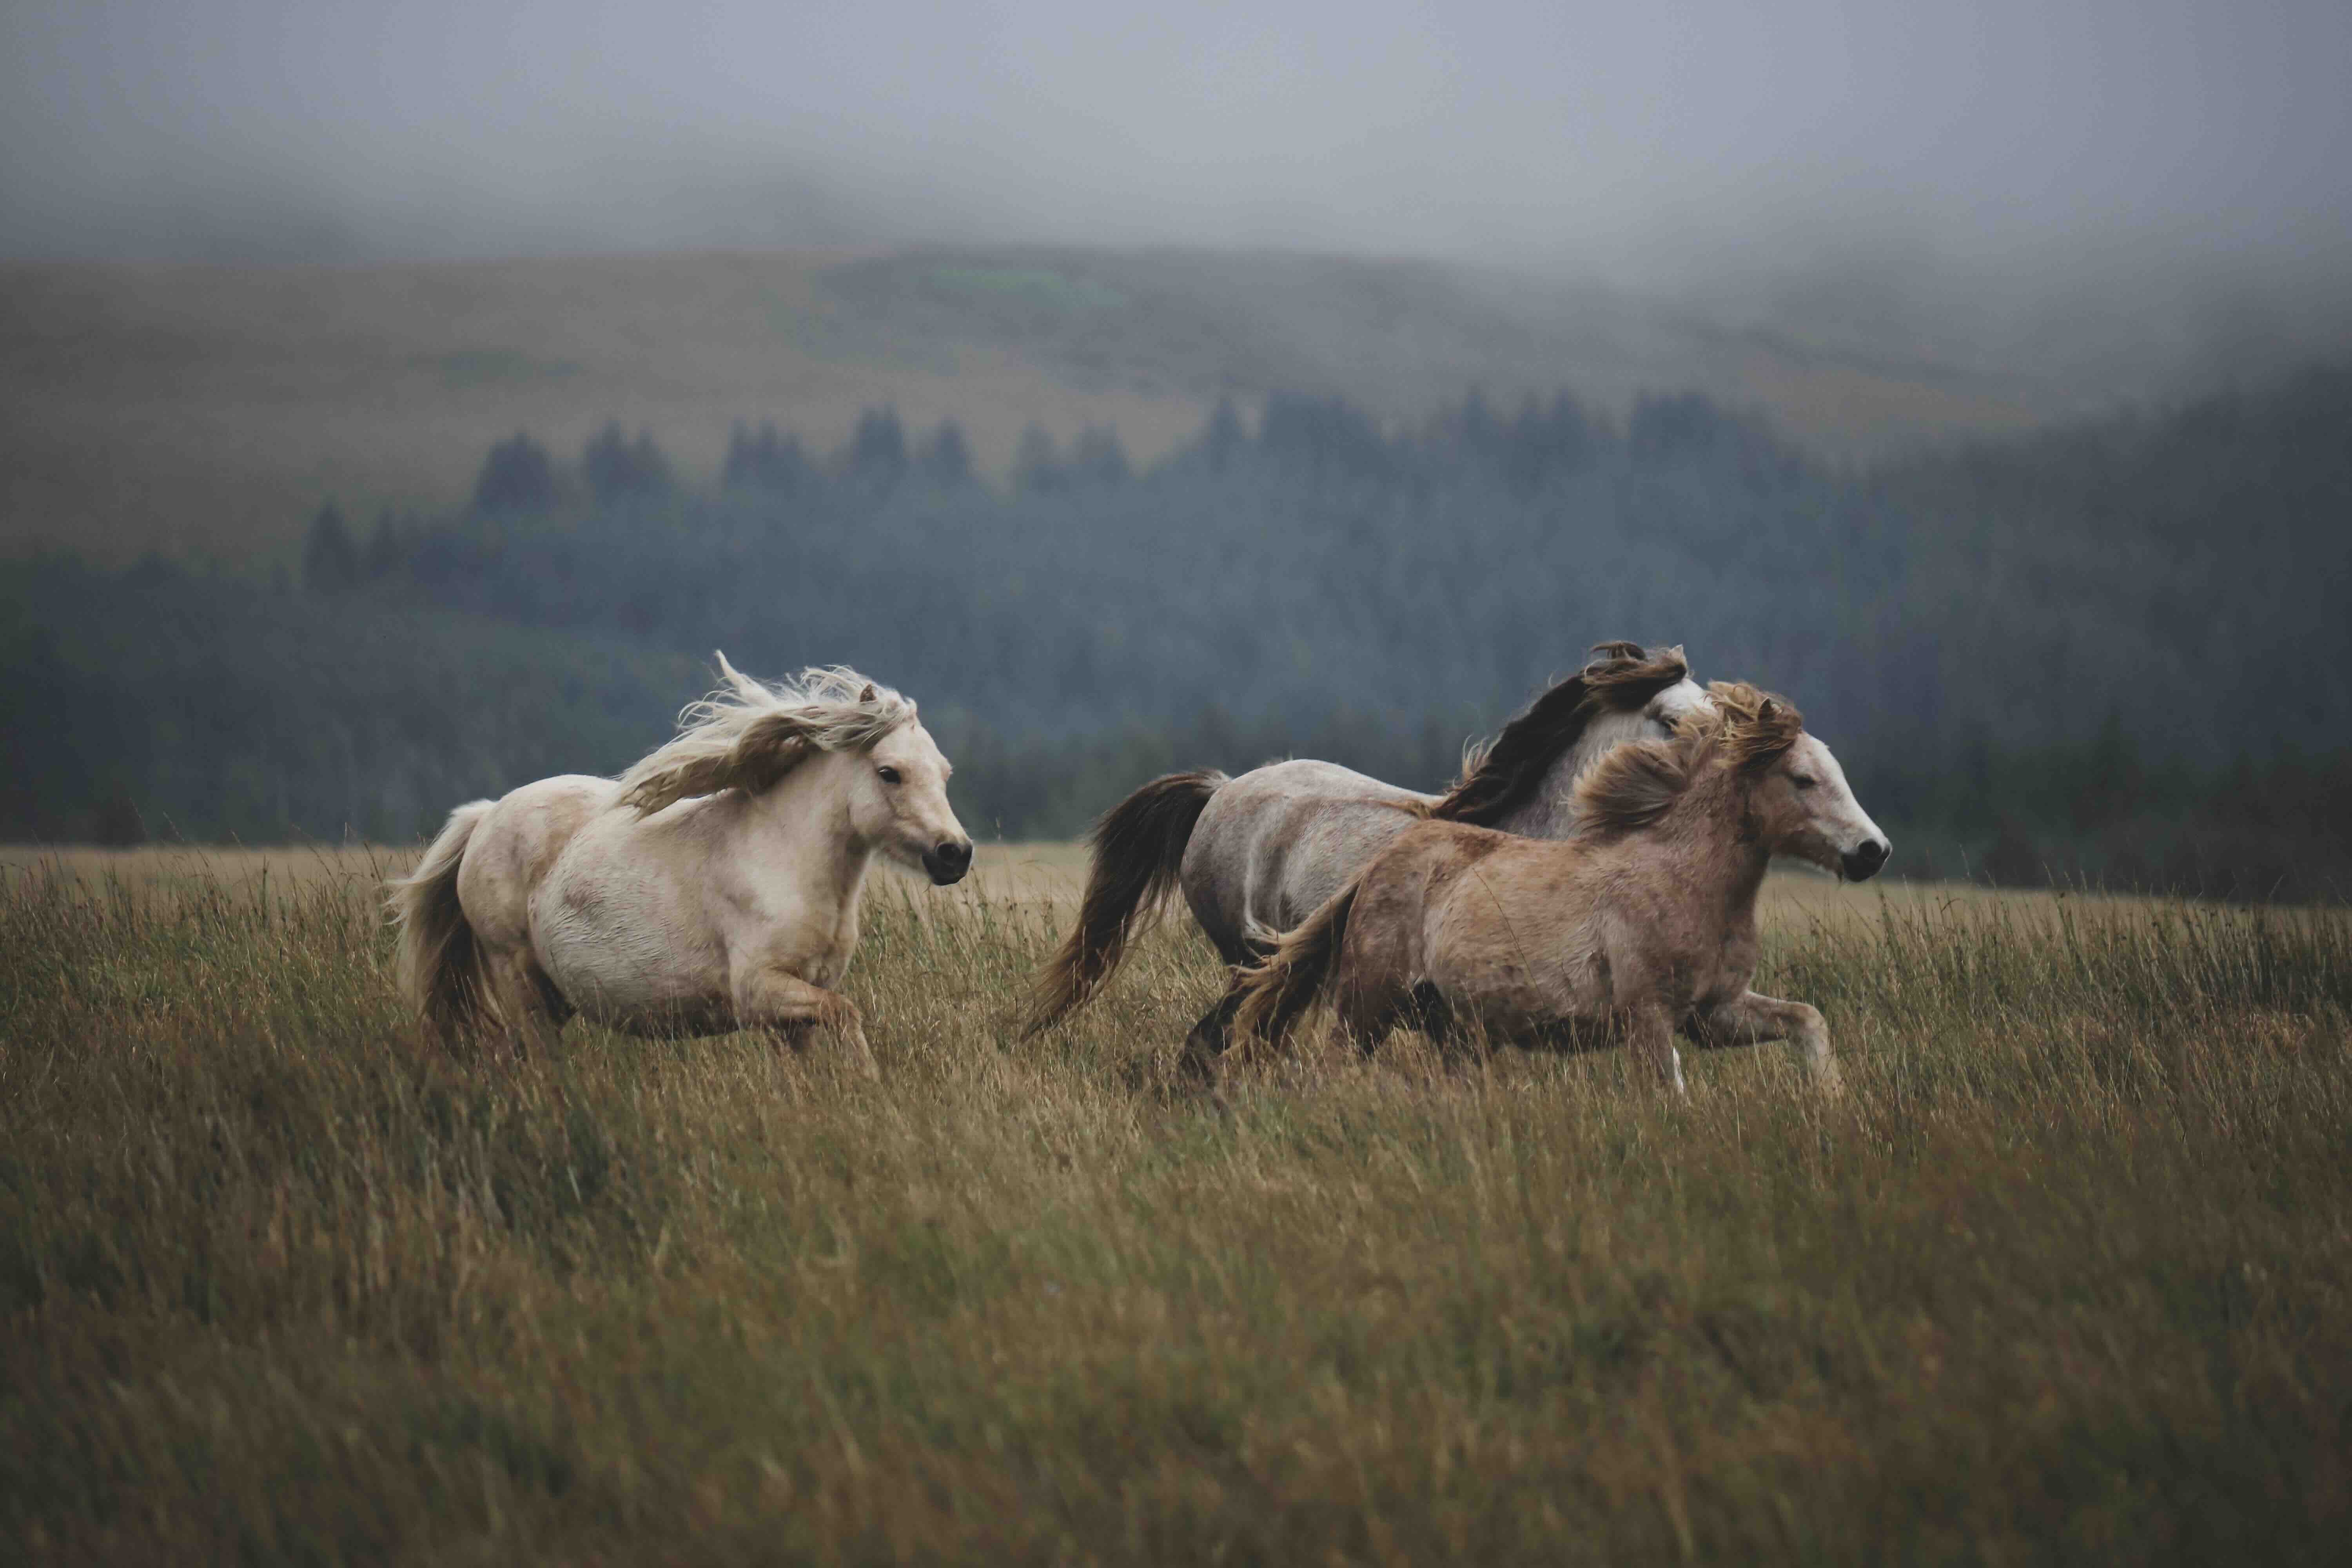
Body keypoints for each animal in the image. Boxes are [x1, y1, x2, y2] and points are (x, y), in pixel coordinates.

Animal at [388, 659, 973, 1070]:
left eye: (945, 773)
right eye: (889, 772)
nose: (955, 854)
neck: (787, 861)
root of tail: (486, 816)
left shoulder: (793, 1011)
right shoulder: (760, 992)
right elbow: (849, 1016)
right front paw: (870, 1085)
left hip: (552, 997)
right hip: (519, 978)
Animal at [1229, 682, 1890, 1093]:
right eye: (1802, 779)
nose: (1872, 851)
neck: (1684, 880)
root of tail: (1376, 867)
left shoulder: (1715, 1015)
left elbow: (1809, 1021)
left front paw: (1831, 1102)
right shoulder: (1650, 1016)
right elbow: (1669, 1093)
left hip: (1456, 1029)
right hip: (1368, 1004)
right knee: (1332, 1065)